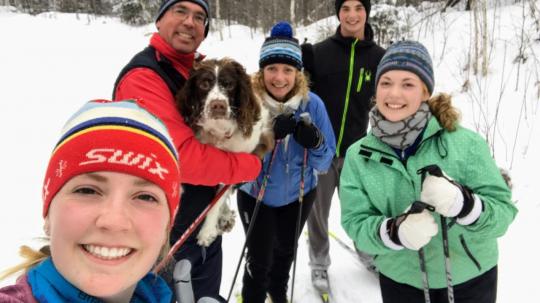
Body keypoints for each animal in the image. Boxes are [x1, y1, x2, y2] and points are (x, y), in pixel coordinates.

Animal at [177, 57, 274, 247]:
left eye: (229, 85)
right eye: (204, 84)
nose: (218, 106)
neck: (219, 132)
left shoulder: (235, 167)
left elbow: (217, 202)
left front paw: (206, 231)